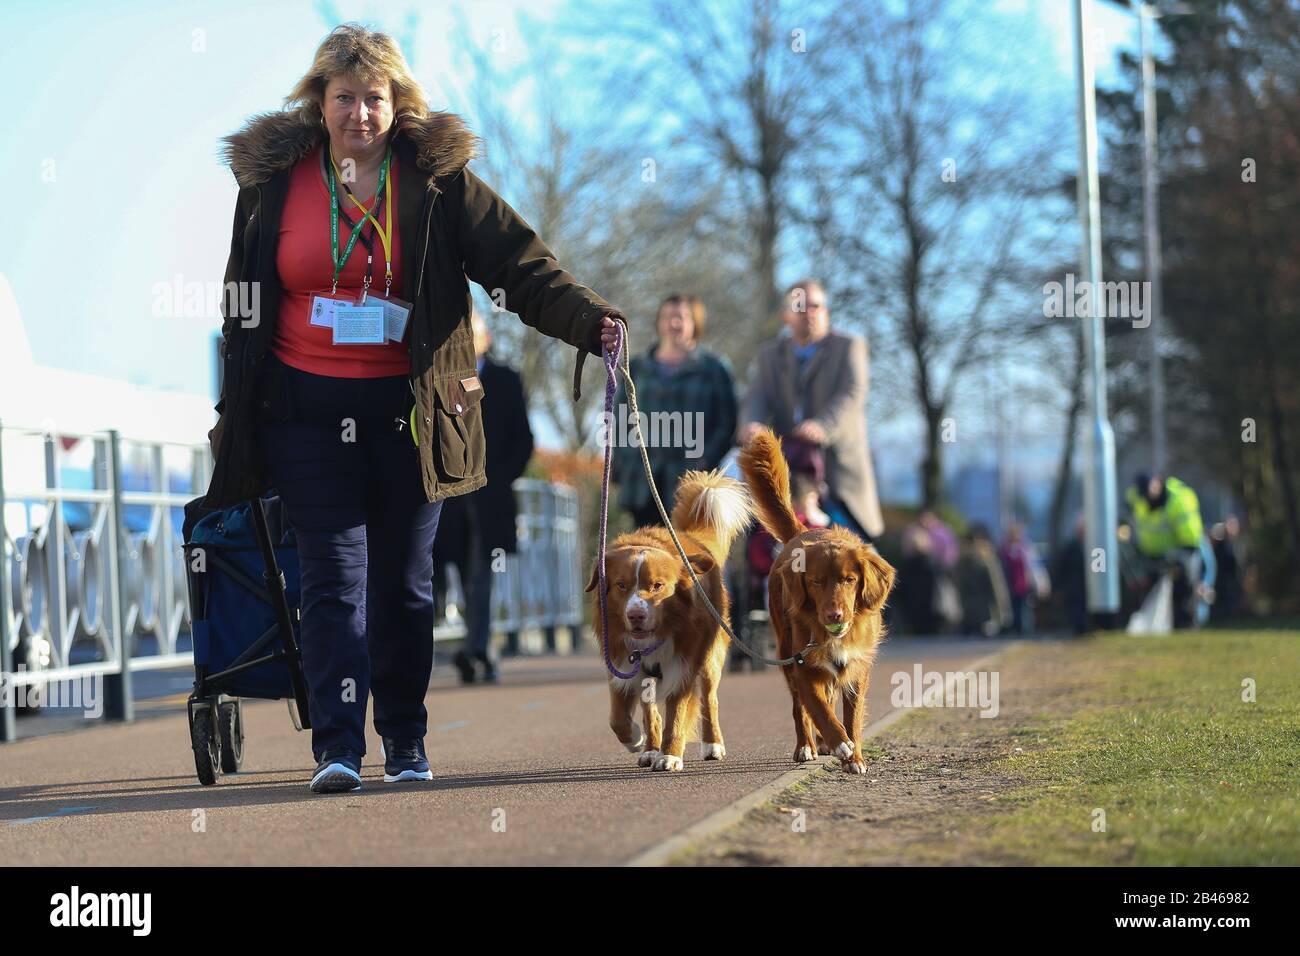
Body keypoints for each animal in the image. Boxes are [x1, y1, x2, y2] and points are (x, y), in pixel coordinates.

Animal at [590, 468, 754, 770]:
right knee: (650, 709)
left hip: (710, 657)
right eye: (621, 585)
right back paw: (650, 748)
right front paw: (637, 740)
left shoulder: (684, 665)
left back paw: (712, 744)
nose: (635, 615)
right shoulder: (620, 662)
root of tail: (690, 537)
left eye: (657, 586)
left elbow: (676, 716)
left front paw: (670, 755)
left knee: (709, 700)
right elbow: (618, 719)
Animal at [743, 429, 894, 775]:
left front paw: (855, 757)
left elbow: (852, 718)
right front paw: (839, 743)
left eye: (849, 580)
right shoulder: (803, 665)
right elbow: (819, 709)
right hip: (785, 651)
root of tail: (802, 531)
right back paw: (808, 746)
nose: (834, 614)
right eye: (815, 582)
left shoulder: (857, 668)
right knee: (800, 708)